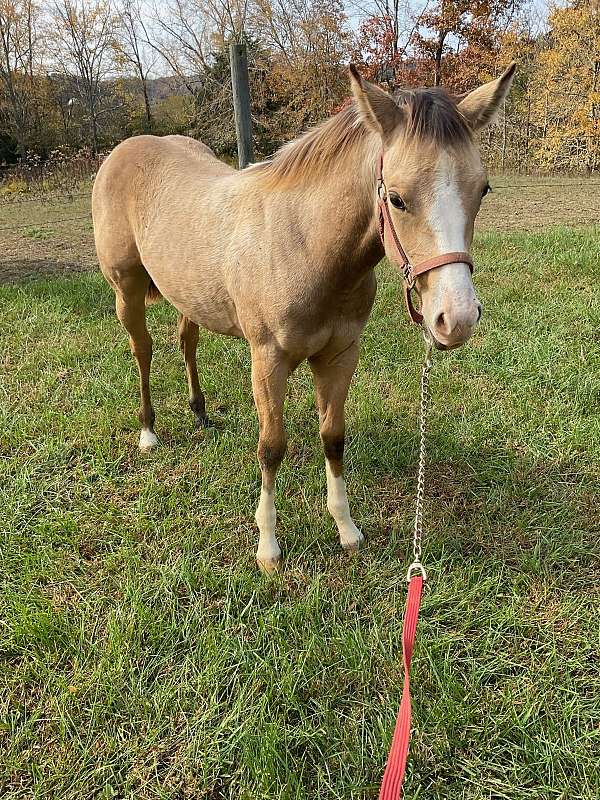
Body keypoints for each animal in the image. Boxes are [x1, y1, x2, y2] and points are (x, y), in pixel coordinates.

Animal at [92, 65, 516, 572]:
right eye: (396, 198)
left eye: (483, 190)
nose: (457, 318)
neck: (304, 246)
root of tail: (125, 150)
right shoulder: (267, 361)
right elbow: (272, 447)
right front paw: (268, 547)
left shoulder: (339, 356)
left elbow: (333, 437)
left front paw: (347, 530)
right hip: (127, 292)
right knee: (143, 351)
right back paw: (149, 431)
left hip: (186, 294)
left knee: (186, 342)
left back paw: (200, 413)